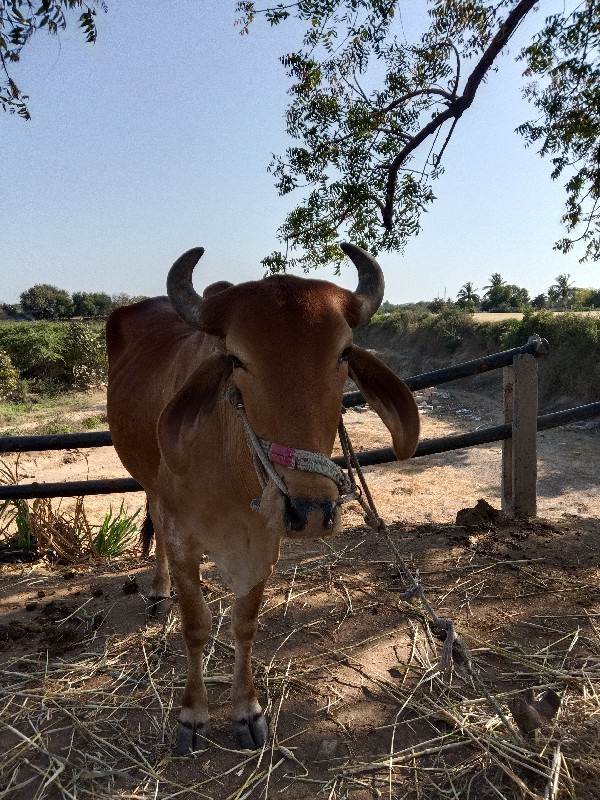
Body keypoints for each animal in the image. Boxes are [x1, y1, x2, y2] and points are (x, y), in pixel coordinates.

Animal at [105, 244, 420, 756]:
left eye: (344, 352)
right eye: (236, 359)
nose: (310, 511)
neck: (231, 472)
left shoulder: (263, 543)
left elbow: (244, 624)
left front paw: (247, 709)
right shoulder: (182, 535)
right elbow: (196, 625)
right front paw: (192, 714)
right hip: (151, 483)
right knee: (152, 514)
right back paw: (157, 590)